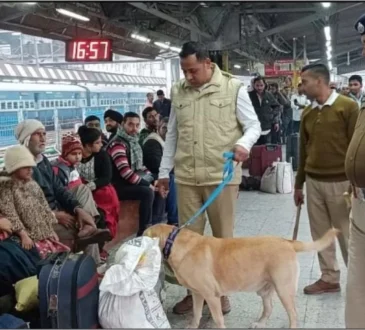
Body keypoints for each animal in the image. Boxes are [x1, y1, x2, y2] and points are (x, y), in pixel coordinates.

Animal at [143, 223, 338, 328]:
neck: (173, 242)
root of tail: (288, 242)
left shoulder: (211, 296)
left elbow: (218, 319)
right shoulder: (198, 294)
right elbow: (196, 314)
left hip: (284, 289)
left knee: (294, 314)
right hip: (265, 289)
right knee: (269, 308)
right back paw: (260, 324)